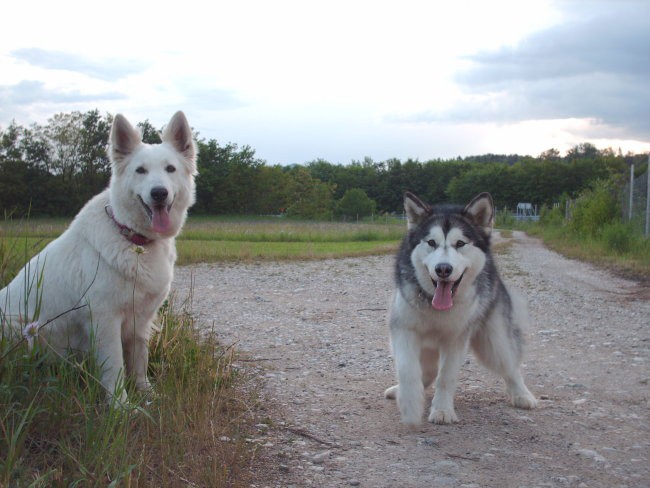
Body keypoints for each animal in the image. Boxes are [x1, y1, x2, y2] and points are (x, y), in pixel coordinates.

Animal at [0, 111, 197, 404]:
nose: (159, 193)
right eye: (140, 171)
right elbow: (115, 367)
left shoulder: (141, 320)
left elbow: (139, 360)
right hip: (23, 328)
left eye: (170, 169)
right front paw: (121, 406)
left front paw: (146, 394)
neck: (131, 238)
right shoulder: (105, 320)